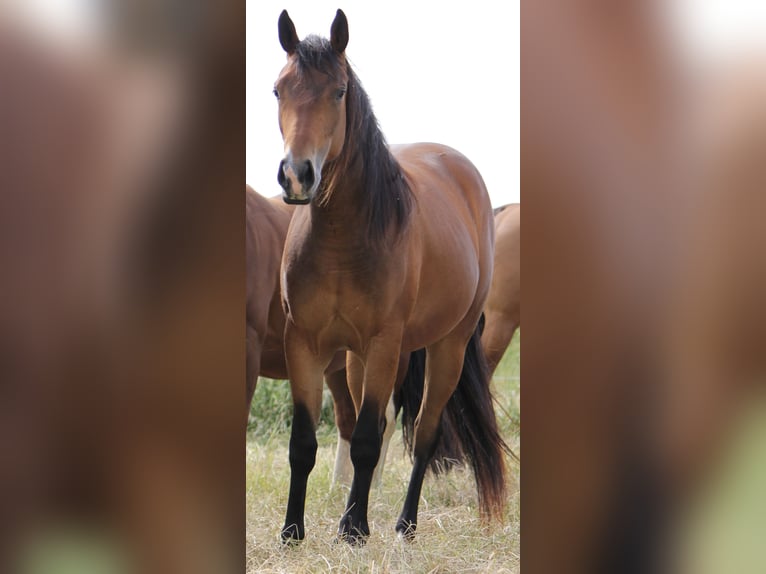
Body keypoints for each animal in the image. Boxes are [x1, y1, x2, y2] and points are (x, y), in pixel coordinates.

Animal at [273, 9, 508, 544]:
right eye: (277, 89)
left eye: (339, 91)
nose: (297, 175)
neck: (341, 242)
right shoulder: (304, 343)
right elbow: (305, 442)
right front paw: (294, 531)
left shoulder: (382, 342)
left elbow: (365, 439)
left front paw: (355, 530)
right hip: (363, 359)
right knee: (378, 425)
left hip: (445, 346)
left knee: (423, 434)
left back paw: (404, 525)